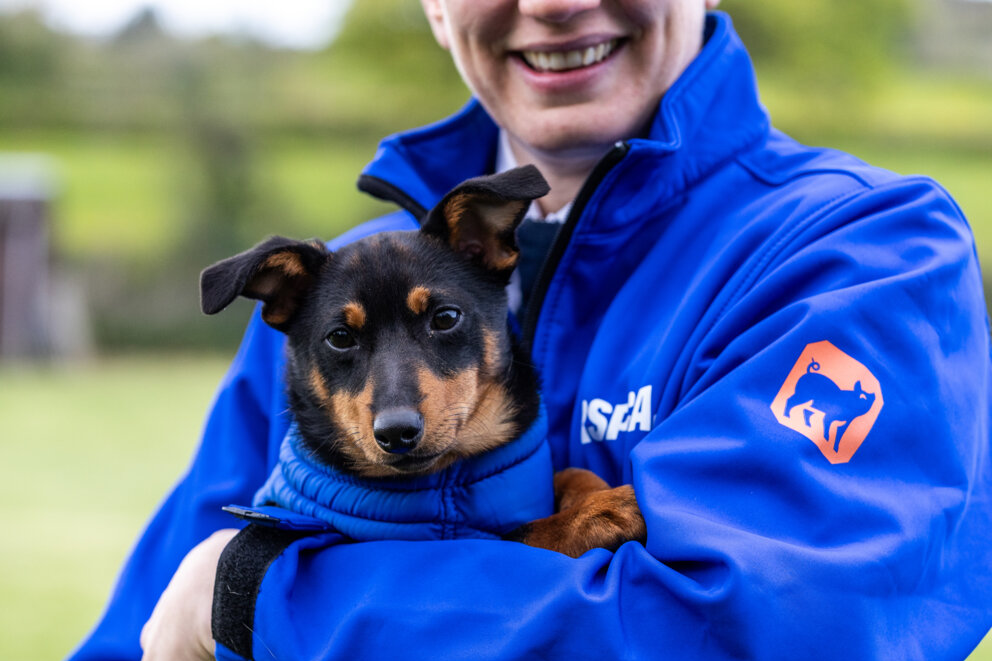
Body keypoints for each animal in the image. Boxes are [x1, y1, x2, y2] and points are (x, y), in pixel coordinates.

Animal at [201, 165, 648, 556]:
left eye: (445, 318)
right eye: (340, 338)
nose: (396, 433)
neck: (444, 477)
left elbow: (571, 472)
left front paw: (596, 493)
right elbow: (526, 532)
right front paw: (608, 509)